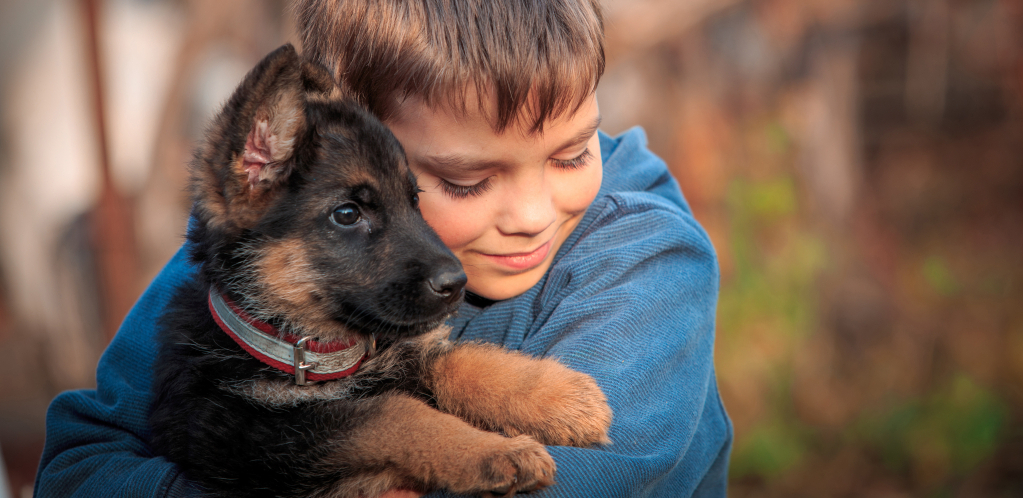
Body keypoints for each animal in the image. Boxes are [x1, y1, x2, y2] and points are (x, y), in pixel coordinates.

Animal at [149, 43, 609, 498]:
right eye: (347, 214)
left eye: (414, 199)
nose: (457, 284)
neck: (311, 352)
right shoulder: (259, 434)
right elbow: (391, 412)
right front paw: (495, 452)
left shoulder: (396, 356)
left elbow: (458, 360)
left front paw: (562, 398)